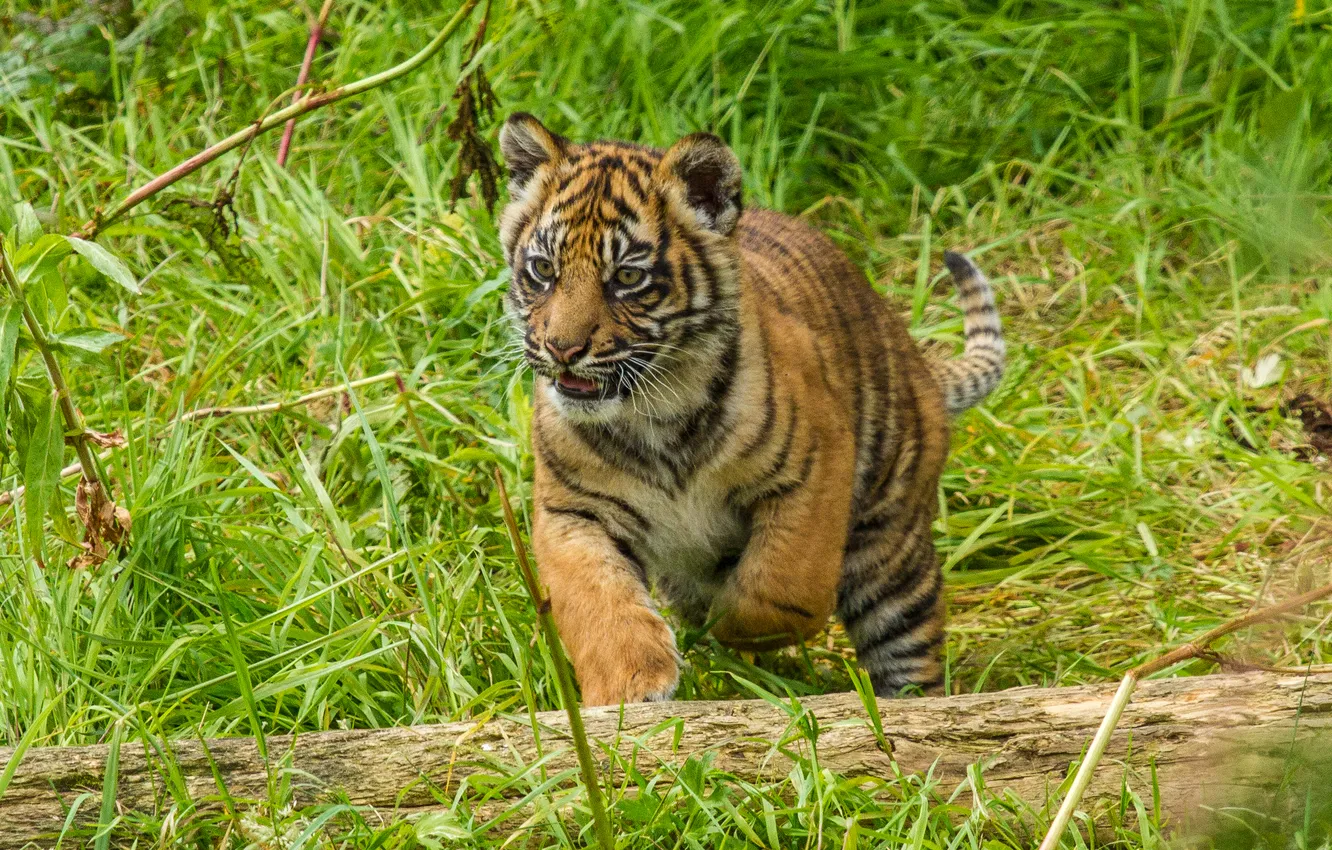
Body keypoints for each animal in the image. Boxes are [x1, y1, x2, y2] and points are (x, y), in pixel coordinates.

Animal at [496, 113, 1004, 705]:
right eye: (542, 269)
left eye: (626, 277)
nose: (562, 349)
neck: (652, 412)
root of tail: (914, 361)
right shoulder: (573, 511)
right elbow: (597, 603)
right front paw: (629, 689)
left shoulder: (814, 475)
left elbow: (780, 587)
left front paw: (731, 626)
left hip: (890, 544)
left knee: (908, 636)